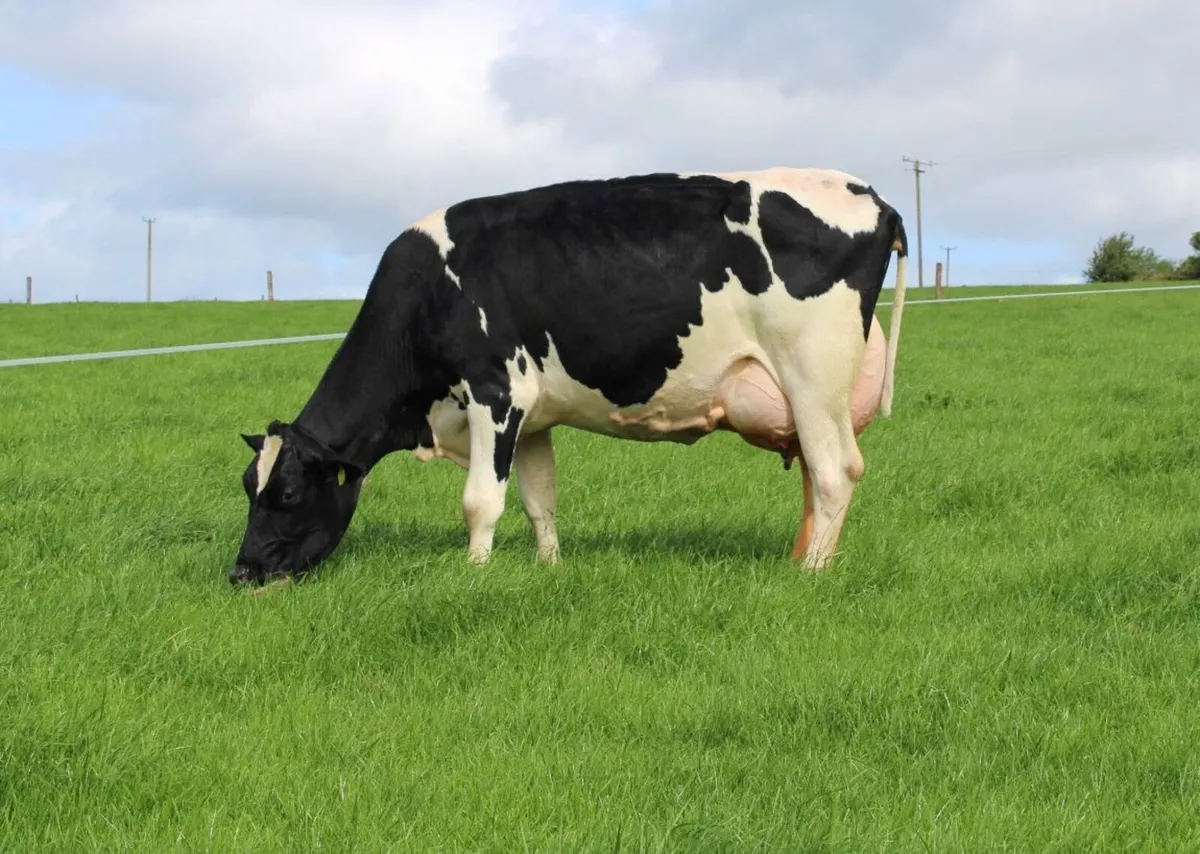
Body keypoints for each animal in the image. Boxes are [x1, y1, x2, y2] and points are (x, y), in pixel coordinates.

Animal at [229, 167, 908, 585]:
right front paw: (548, 569)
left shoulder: (497, 393)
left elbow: (480, 501)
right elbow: (538, 499)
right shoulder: (532, 417)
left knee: (835, 472)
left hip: (812, 375)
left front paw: (474, 575)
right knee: (816, 476)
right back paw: (804, 558)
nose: (241, 573)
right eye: (246, 485)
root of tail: (872, 196)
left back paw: (811, 572)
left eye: (286, 493)